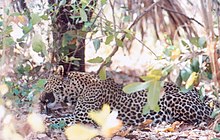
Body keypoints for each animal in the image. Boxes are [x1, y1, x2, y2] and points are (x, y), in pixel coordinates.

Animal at [40, 66, 213, 127]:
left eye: (46, 83)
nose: (40, 99)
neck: (79, 89)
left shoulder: (86, 117)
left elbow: (60, 119)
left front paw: (44, 120)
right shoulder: (78, 114)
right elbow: (63, 116)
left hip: (170, 98)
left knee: (199, 117)